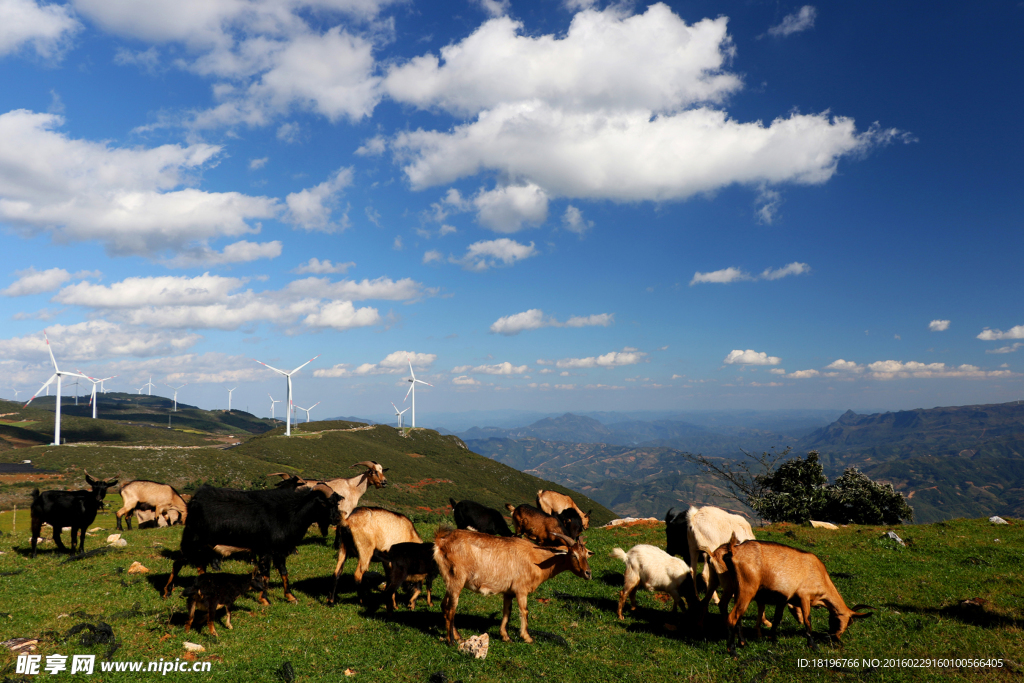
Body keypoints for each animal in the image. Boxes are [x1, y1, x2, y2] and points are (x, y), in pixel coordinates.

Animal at [161, 483, 342, 606]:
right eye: (324, 503)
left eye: (336, 503)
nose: (338, 518)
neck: (287, 514)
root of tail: (194, 500)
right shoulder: (266, 550)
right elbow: (266, 574)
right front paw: (265, 599)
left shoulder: (279, 551)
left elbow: (283, 572)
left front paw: (290, 596)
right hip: (192, 540)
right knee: (178, 563)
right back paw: (166, 592)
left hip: (205, 545)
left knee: (200, 565)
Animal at [432, 528, 593, 643]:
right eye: (573, 555)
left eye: (586, 554)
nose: (588, 573)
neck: (536, 559)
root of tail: (441, 542)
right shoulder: (521, 590)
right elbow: (524, 611)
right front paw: (527, 637)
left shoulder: (509, 592)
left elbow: (507, 611)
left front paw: (505, 636)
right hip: (456, 580)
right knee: (451, 609)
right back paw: (451, 641)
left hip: (450, 581)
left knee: (444, 605)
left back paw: (457, 636)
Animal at [712, 532, 872, 655]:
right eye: (841, 620)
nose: (835, 637)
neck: (821, 576)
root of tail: (733, 551)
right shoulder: (804, 596)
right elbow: (807, 619)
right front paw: (813, 645)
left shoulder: (783, 599)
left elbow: (777, 618)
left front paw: (772, 638)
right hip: (747, 589)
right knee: (733, 617)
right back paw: (732, 651)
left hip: (734, 587)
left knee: (733, 612)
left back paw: (743, 642)